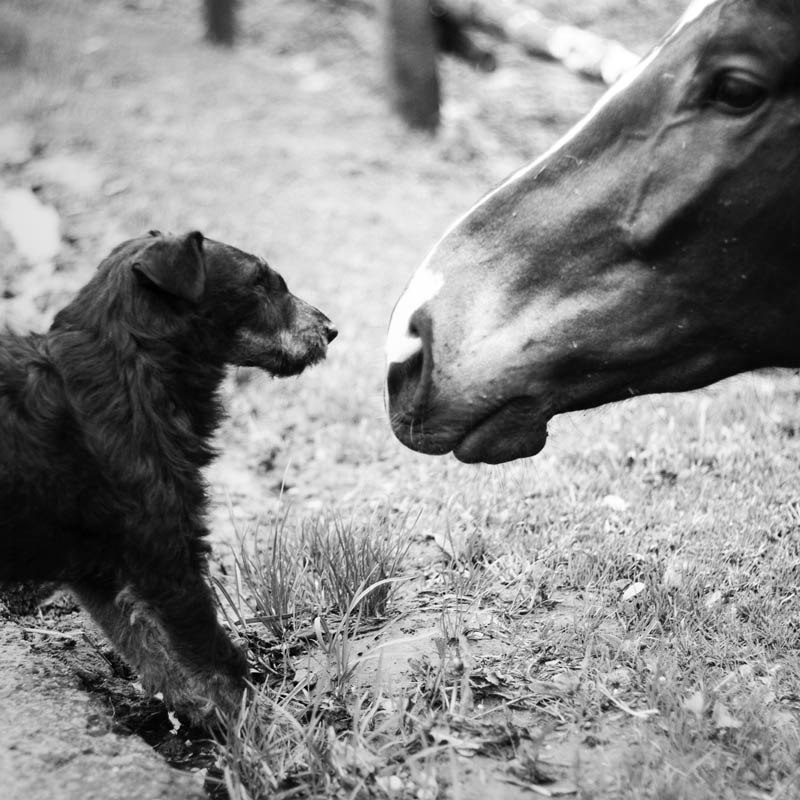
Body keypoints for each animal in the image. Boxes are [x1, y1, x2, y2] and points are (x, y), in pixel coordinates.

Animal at [0, 231, 336, 724]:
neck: (130, 369)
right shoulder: (166, 556)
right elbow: (215, 658)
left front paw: (197, 710)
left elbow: (145, 646)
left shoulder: (97, 568)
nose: (331, 328)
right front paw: (260, 726)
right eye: (258, 282)